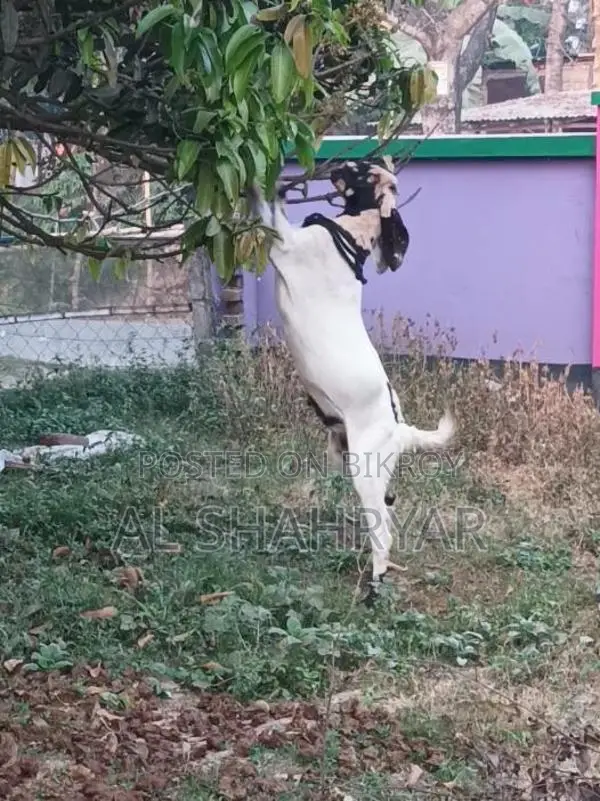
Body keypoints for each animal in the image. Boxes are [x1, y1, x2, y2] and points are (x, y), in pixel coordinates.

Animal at [248, 159, 456, 602]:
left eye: (363, 171)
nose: (336, 165)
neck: (352, 233)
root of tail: (399, 429)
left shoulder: (284, 244)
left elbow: (263, 202)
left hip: (365, 474)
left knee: (383, 535)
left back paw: (375, 584)